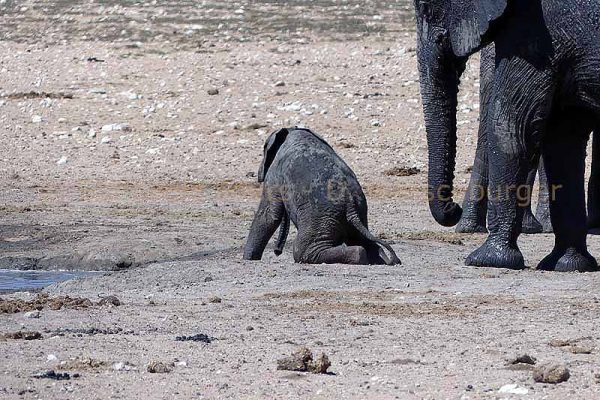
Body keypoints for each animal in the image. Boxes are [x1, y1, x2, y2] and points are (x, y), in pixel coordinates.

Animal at [241, 128, 400, 266]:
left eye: (264, 149)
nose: (277, 252)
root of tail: (350, 204)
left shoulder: (274, 175)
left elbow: (269, 214)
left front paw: (248, 259)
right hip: (355, 215)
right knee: (366, 243)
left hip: (320, 217)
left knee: (303, 250)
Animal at [414, 0, 600, 272]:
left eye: (428, 7)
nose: (453, 209)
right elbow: (563, 140)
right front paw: (567, 264)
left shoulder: (538, 33)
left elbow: (511, 127)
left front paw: (487, 260)